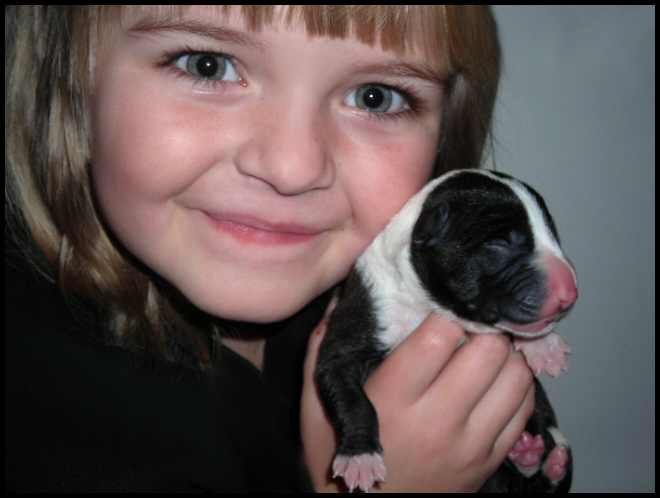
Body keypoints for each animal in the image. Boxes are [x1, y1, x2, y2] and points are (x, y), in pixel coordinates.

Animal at [316, 169, 576, 492]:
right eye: (500, 244)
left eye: (553, 234)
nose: (570, 293)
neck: (430, 306)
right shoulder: (353, 333)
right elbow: (352, 399)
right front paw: (360, 457)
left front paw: (544, 345)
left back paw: (542, 460)